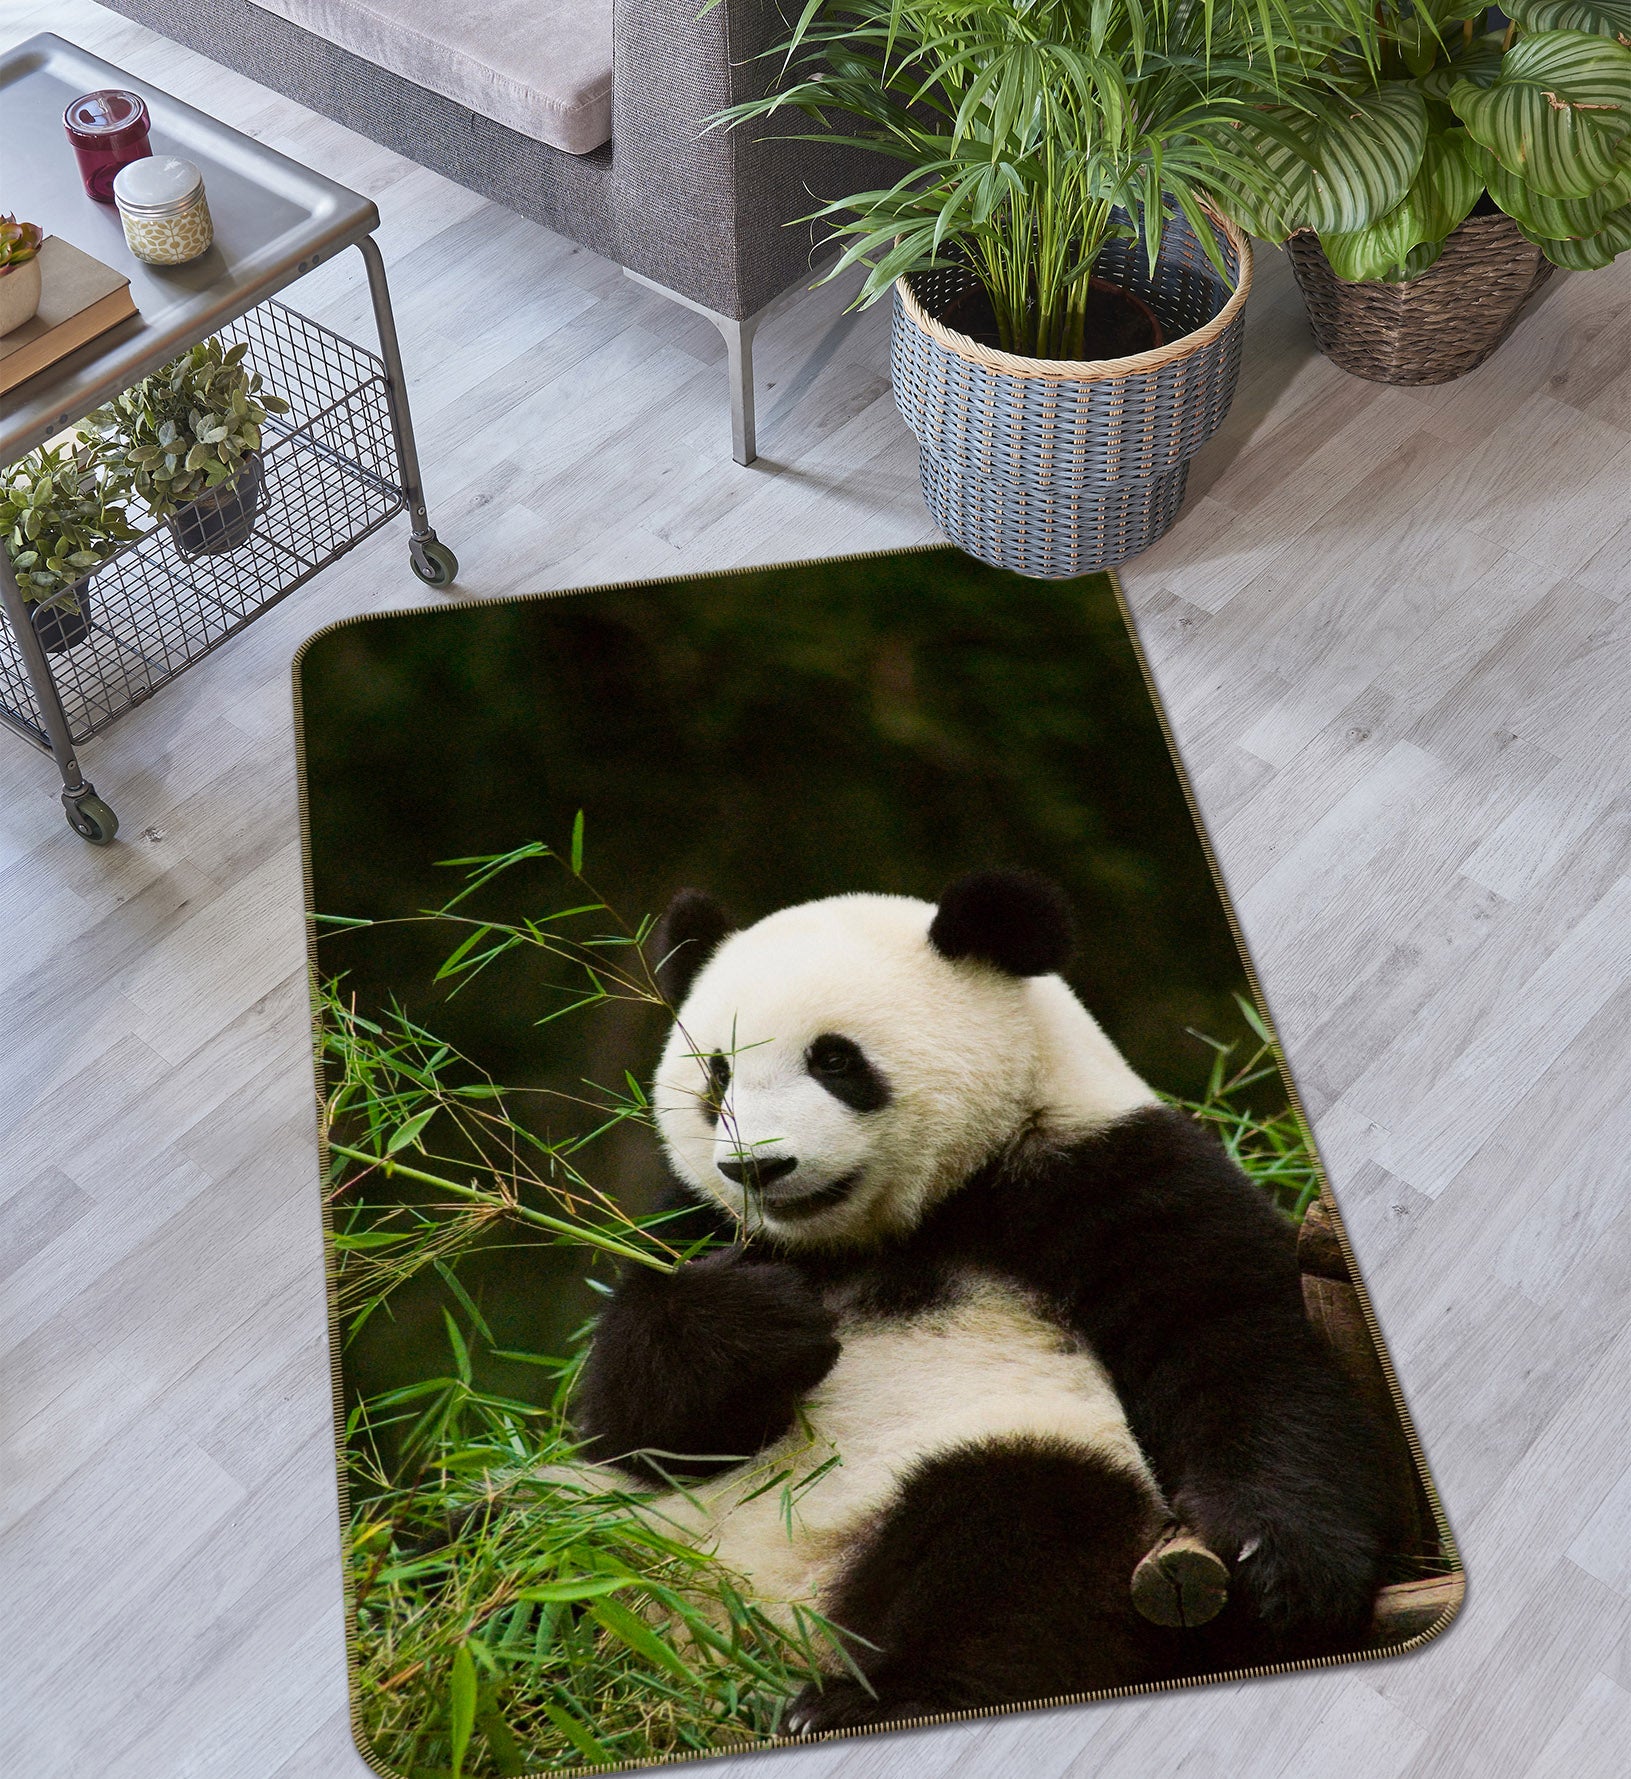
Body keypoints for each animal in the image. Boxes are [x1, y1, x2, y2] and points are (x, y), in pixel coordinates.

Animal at [574, 870, 1402, 1731]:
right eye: (717, 1075)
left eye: (834, 1059)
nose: (757, 1168)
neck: (884, 1233)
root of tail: (734, 1643)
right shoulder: (690, 1222)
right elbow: (630, 1425)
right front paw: (758, 1320)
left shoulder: (1101, 1172)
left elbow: (1235, 1338)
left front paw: (1280, 1565)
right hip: (618, 1533)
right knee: (538, 1556)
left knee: (1012, 1540)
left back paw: (869, 1699)